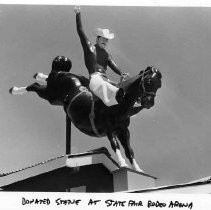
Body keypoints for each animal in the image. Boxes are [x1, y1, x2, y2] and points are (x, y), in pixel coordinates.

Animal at [9, 55, 162, 172]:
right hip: (51, 96)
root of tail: (62, 73)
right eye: (149, 81)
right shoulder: (109, 129)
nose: (149, 102)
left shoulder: (123, 130)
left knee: (46, 81)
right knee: (34, 86)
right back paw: (15, 89)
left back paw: (40, 76)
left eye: (159, 85)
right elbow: (115, 145)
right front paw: (123, 164)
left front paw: (138, 169)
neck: (117, 101)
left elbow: (130, 150)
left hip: (60, 94)